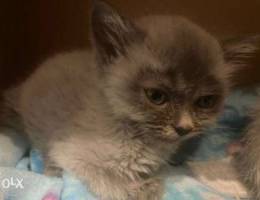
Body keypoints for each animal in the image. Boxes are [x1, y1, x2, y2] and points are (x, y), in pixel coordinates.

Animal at [3, 0, 258, 199]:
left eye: (205, 102)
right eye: (156, 96)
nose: (184, 128)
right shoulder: (70, 151)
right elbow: (107, 178)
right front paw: (141, 189)